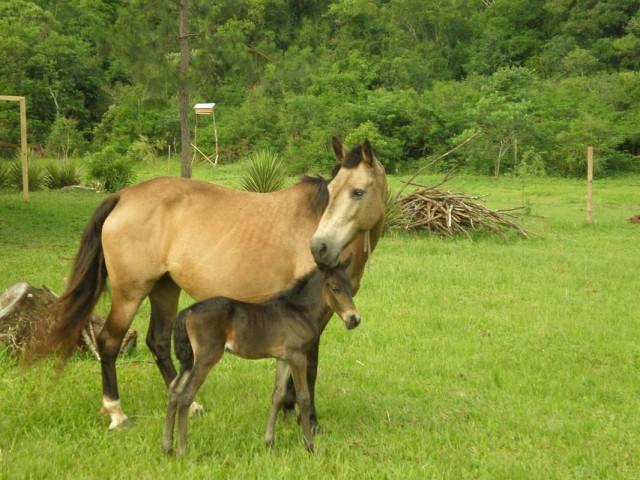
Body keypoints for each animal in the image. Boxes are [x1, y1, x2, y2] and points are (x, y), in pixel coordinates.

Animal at [162, 260, 360, 456]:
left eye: (350, 288)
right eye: (335, 288)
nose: (354, 319)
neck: (300, 311)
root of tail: (188, 311)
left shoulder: (284, 359)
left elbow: (277, 395)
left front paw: (269, 443)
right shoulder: (297, 357)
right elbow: (303, 397)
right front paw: (310, 446)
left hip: (189, 360)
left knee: (174, 390)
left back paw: (167, 447)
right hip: (205, 358)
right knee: (186, 395)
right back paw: (182, 450)